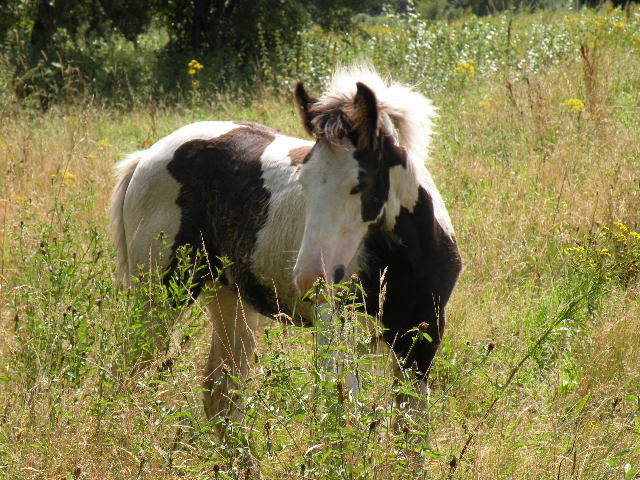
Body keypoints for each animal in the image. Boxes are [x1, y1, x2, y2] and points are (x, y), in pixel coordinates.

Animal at [110, 66, 460, 420]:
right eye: (303, 180)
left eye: (360, 184)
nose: (310, 278)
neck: (402, 260)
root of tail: (146, 156)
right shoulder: (335, 325)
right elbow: (343, 410)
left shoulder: (421, 335)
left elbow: (410, 424)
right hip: (160, 294)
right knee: (129, 370)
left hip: (230, 299)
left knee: (221, 392)